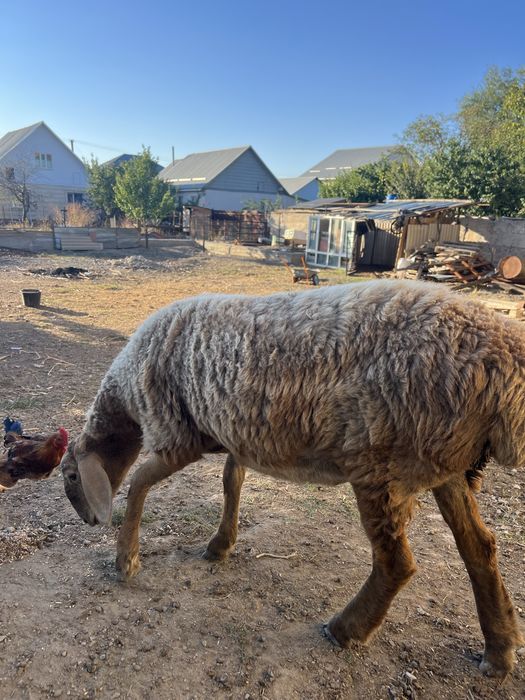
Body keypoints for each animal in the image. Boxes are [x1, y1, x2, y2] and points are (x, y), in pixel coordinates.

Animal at [61, 279, 525, 677]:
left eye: (69, 477)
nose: (89, 520)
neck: (127, 391)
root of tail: (506, 359)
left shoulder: (178, 433)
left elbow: (138, 482)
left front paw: (126, 560)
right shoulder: (234, 432)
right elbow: (231, 481)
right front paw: (220, 544)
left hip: (383, 463)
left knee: (397, 562)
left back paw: (346, 629)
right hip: (444, 461)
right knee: (480, 548)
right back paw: (499, 651)